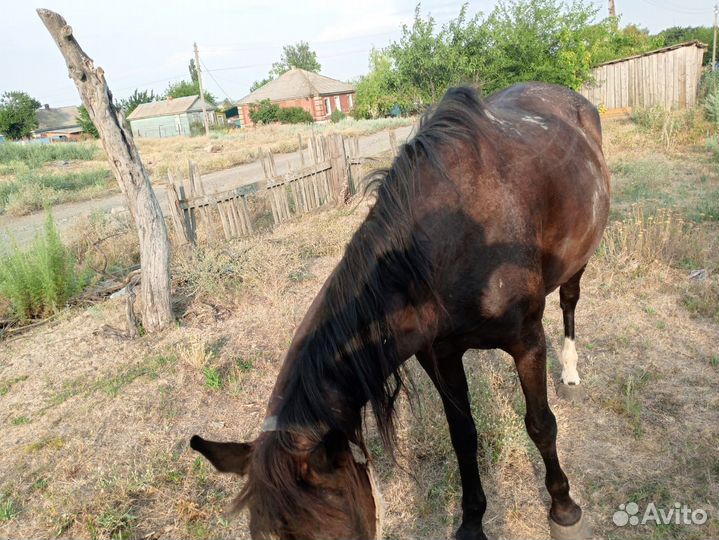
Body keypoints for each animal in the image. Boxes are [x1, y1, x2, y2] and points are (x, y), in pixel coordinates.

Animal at [191, 81, 610, 540]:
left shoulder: (527, 342)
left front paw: (564, 509)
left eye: (331, 535)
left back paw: (570, 372)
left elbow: (540, 425)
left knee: (569, 301)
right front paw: (471, 522)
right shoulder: (440, 355)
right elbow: (463, 435)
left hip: (578, 260)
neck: (447, 249)